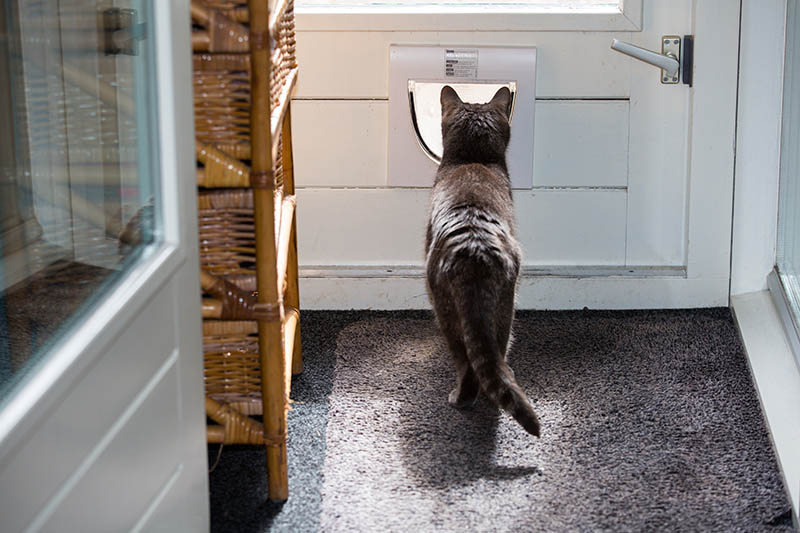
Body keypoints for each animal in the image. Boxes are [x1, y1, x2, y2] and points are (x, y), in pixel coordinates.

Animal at [422, 85, 540, 436]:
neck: (473, 159)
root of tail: (474, 248)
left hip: (449, 312)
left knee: (470, 364)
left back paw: (462, 398)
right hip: (501, 308)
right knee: (494, 359)